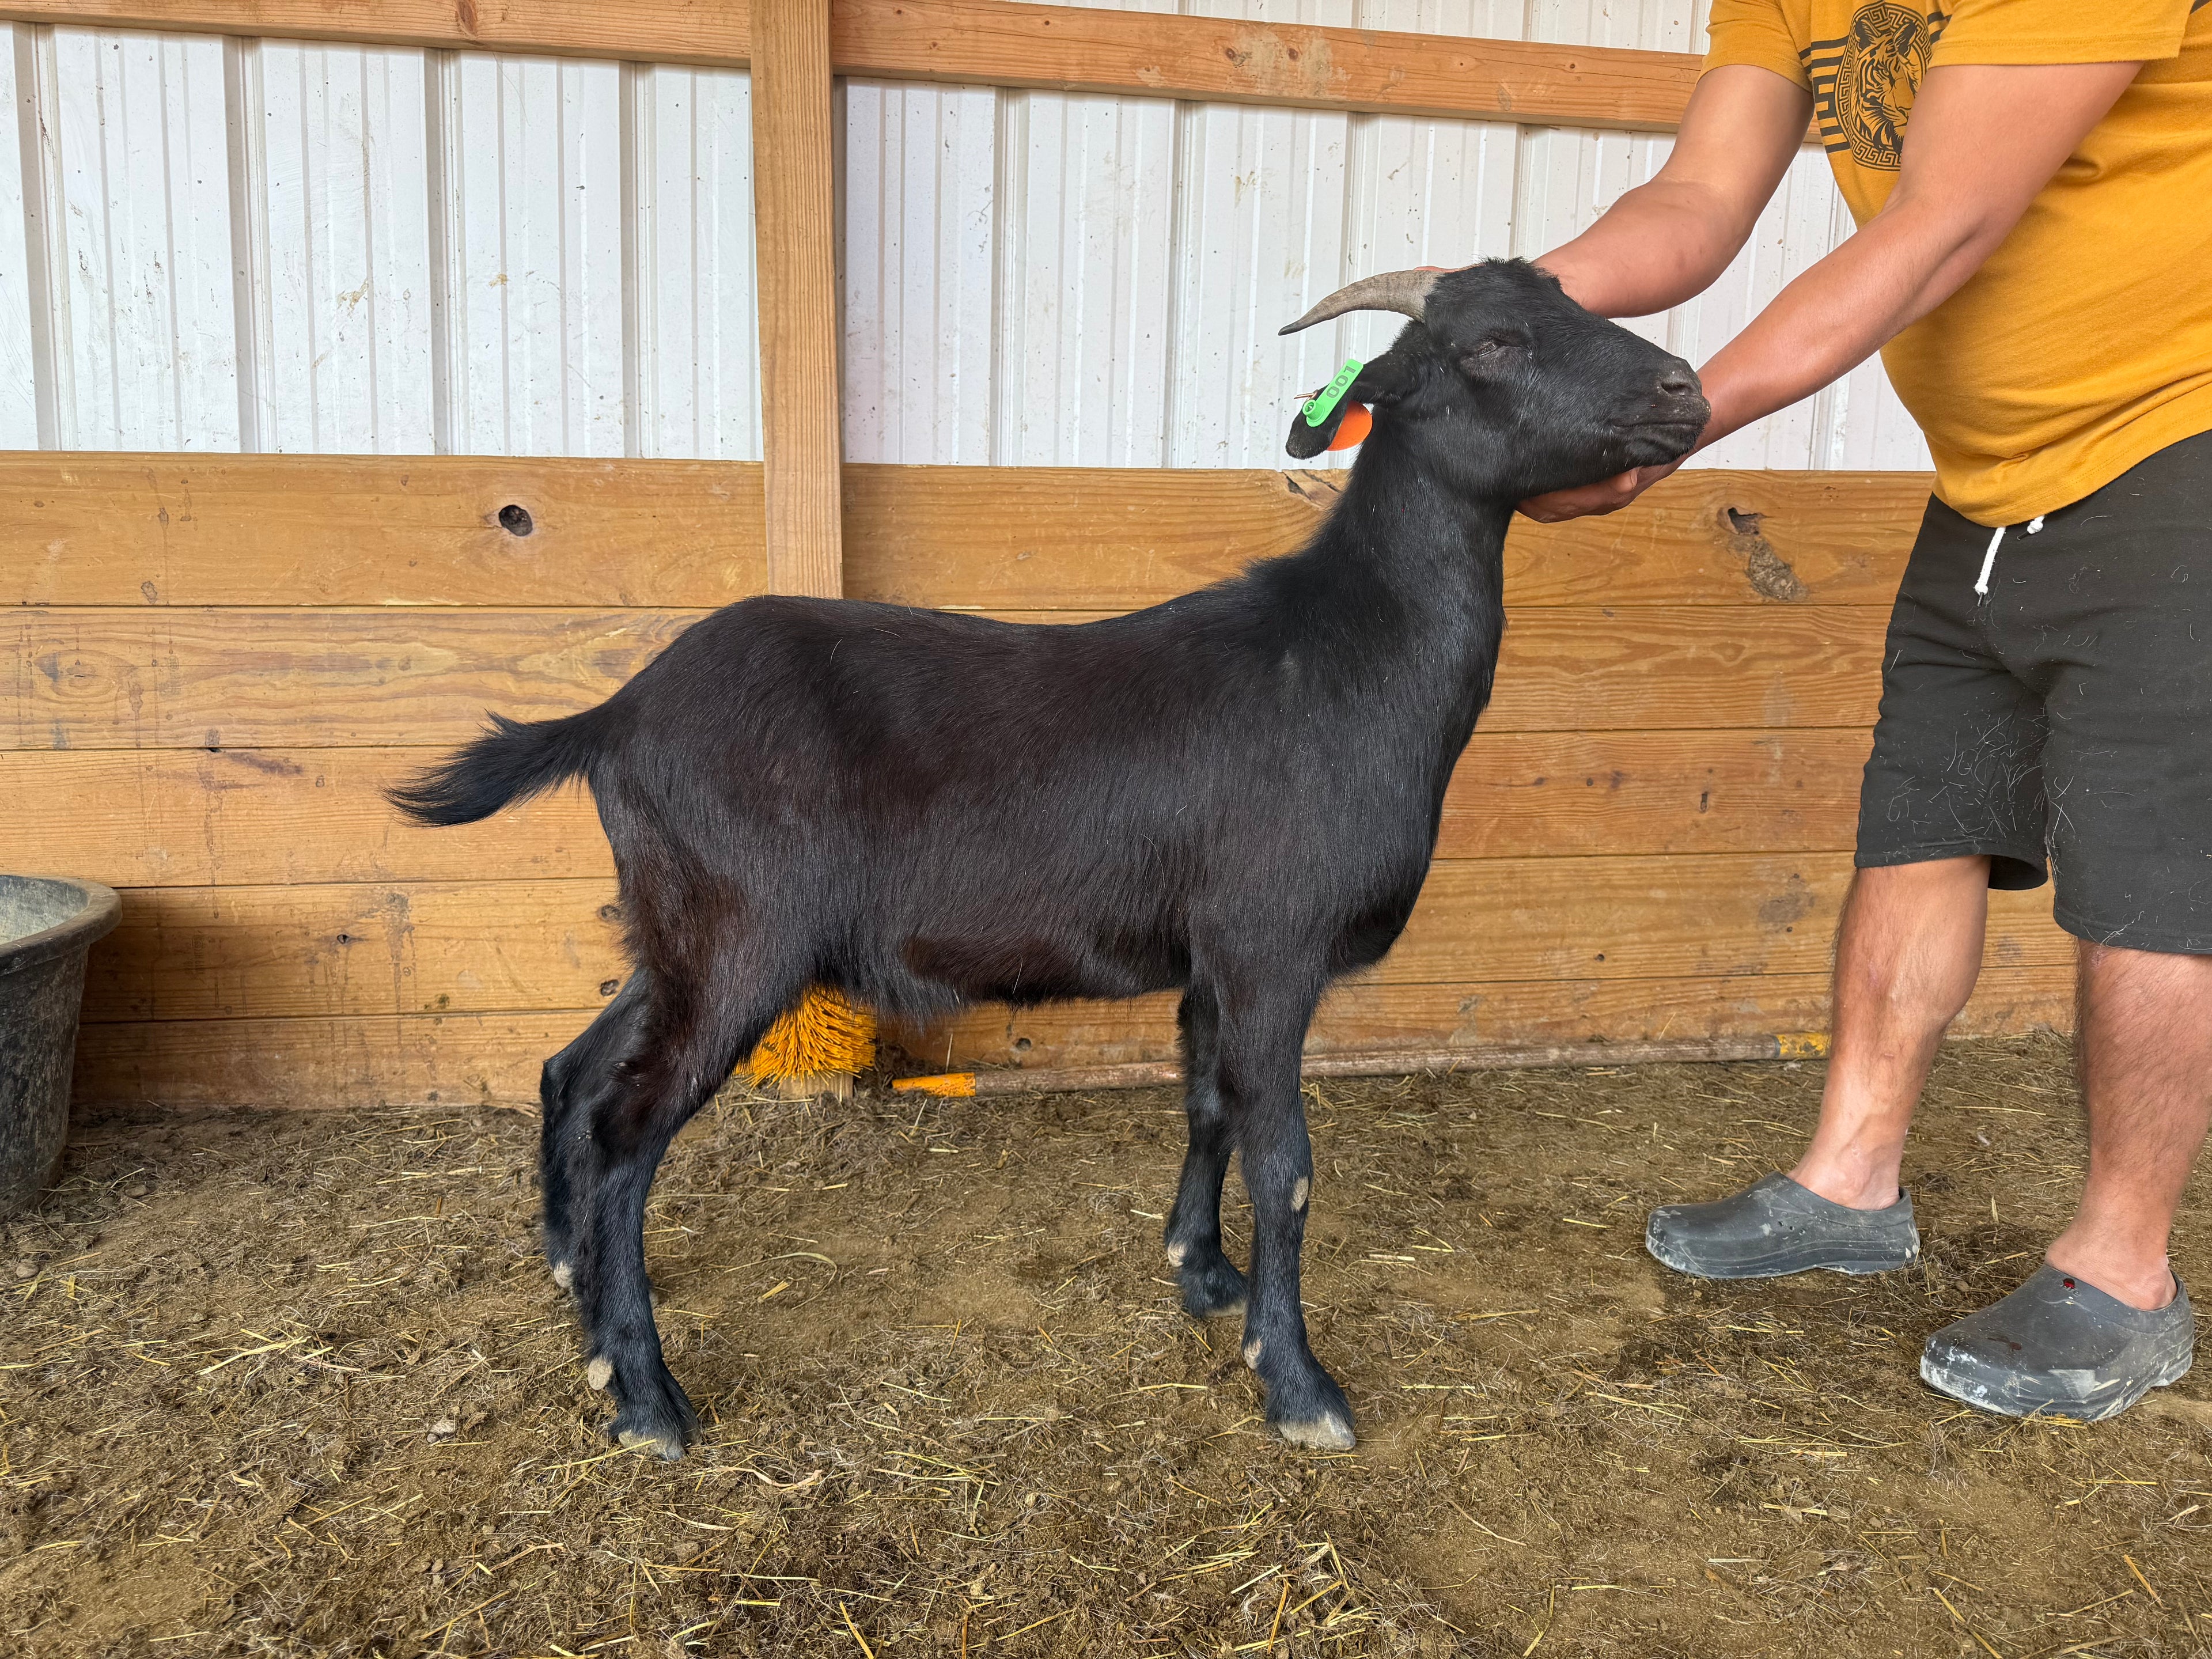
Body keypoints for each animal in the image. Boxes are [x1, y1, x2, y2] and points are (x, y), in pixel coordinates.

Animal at [391, 260, 1707, 1459]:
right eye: (1490, 343)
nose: (1685, 390)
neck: (1346, 654)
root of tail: (615, 714)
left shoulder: (1212, 958)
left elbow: (1209, 1106)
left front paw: (1202, 1275)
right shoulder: (1272, 944)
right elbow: (1285, 1158)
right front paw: (1296, 1384)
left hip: (680, 927)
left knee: (571, 1071)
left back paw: (573, 1287)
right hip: (740, 939)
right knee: (625, 1130)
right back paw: (646, 1397)